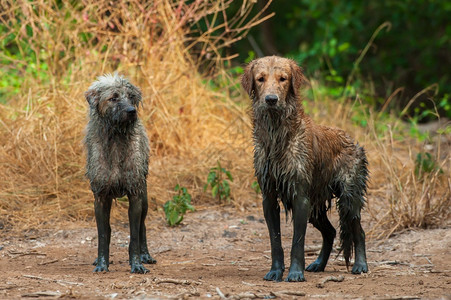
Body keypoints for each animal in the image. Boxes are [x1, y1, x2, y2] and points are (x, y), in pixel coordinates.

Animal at [85, 74, 157, 274]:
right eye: (114, 97)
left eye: (131, 96)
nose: (132, 111)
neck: (116, 138)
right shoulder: (101, 197)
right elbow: (103, 234)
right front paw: (102, 264)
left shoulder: (135, 195)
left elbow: (134, 235)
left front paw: (137, 264)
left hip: (144, 198)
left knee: (142, 227)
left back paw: (145, 255)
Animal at [242, 55, 370, 282]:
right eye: (260, 79)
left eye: (283, 79)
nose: (271, 99)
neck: (277, 136)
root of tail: (353, 142)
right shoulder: (269, 197)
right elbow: (275, 241)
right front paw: (276, 271)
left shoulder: (300, 196)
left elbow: (297, 242)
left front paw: (295, 273)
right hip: (315, 207)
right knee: (330, 232)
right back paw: (319, 264)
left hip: (348, 198)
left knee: (359, 231)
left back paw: (360, 265)